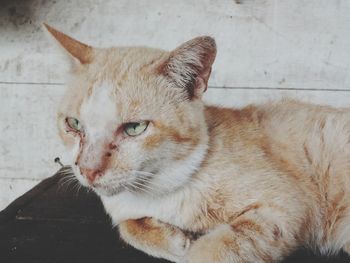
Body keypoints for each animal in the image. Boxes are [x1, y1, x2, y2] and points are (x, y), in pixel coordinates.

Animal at [44, 23, 350, 262]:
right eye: (74, 124)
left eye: (134, 128)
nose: (88, 170)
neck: (161, 191)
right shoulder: (124, 212)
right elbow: (127, 227)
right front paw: (176, 240)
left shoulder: (287, 207)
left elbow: (210, 250)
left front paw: (190, 246)